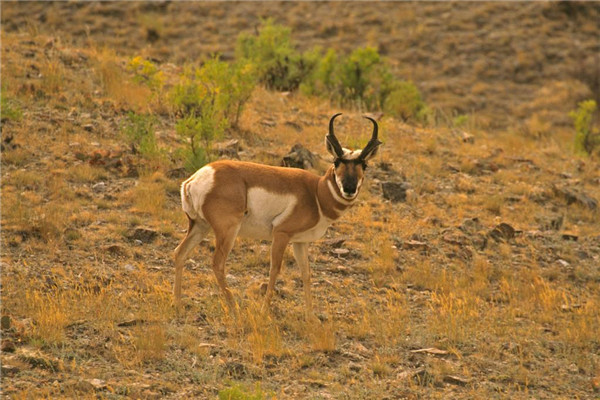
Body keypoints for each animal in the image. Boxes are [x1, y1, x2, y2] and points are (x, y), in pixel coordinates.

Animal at [173, 112, 382, 312]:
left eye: (364, 164)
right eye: (336, 161)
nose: (349, 188)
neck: (316, 193)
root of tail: (196, 178)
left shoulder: (300, 242)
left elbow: (306, 274)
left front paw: (311, 316)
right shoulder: (281, 234)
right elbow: (275, 269)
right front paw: (265, 310)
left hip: (200, 226)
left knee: (179, 253)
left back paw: (178, 305)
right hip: (227, 231)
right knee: (217, 263)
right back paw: (234, 308)